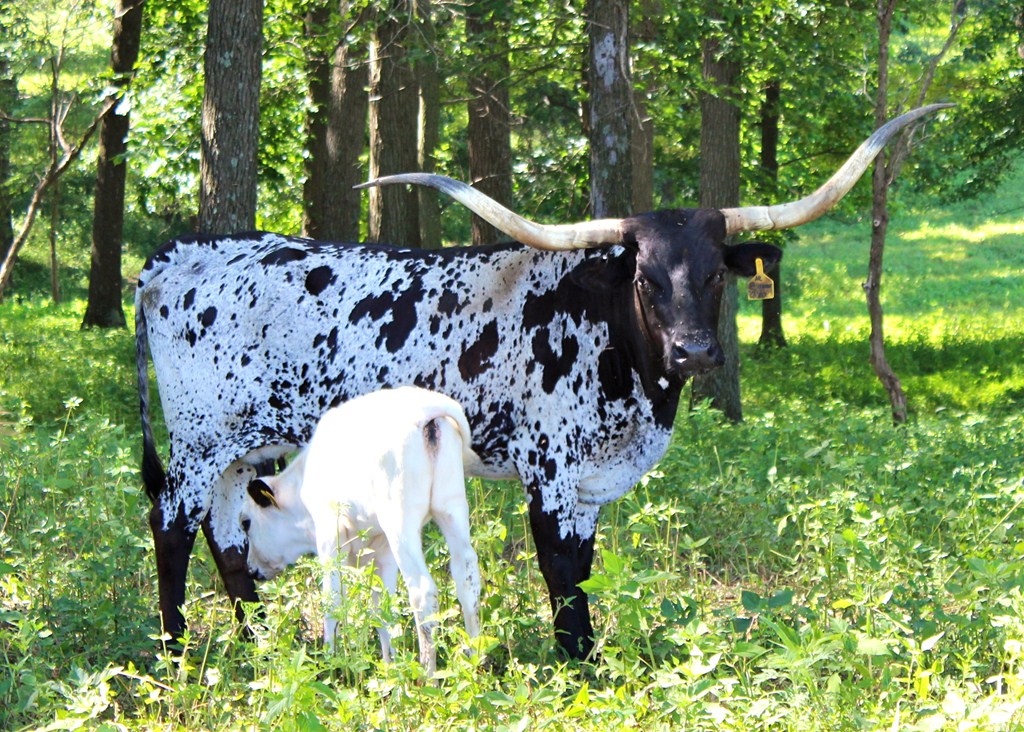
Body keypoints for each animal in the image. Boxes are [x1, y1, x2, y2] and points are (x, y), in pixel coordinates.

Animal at [238, 386, 482, 676]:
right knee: (466, 577)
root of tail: (423, 411)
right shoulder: (382, 547)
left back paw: (428, 674)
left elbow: (332, 601)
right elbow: (382, 607)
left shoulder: (330, 537)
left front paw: (330, 665)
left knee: (422, 591)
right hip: (451, 509)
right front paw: (389, 668)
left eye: (246, 522)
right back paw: (476, 661)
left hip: (401, 524)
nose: (251, 568)